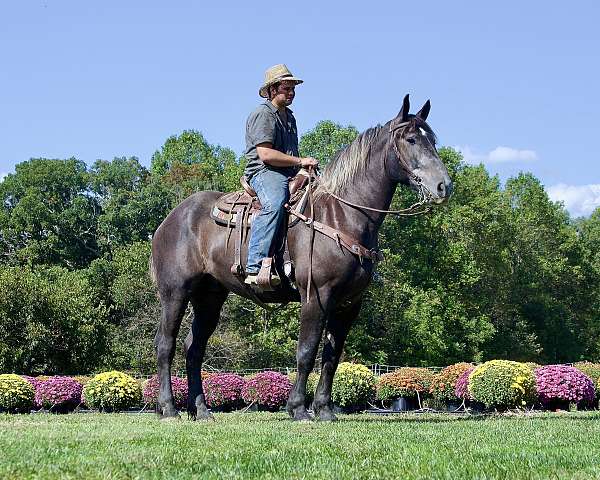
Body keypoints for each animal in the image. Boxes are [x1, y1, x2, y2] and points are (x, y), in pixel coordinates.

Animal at [149, 94, 450, 420]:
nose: (444, 186)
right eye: (411, 139)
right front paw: (298, 408)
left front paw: (325, 409)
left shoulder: (349, 303)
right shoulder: (316, 295)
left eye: (433, 140)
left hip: (209, 296)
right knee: (165, 345)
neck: (343, 214)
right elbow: (306, 351)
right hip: (175, 292)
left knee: (194, 349)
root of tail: (169, 220)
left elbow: (331, 356)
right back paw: (168, 408)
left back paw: (202, 410)